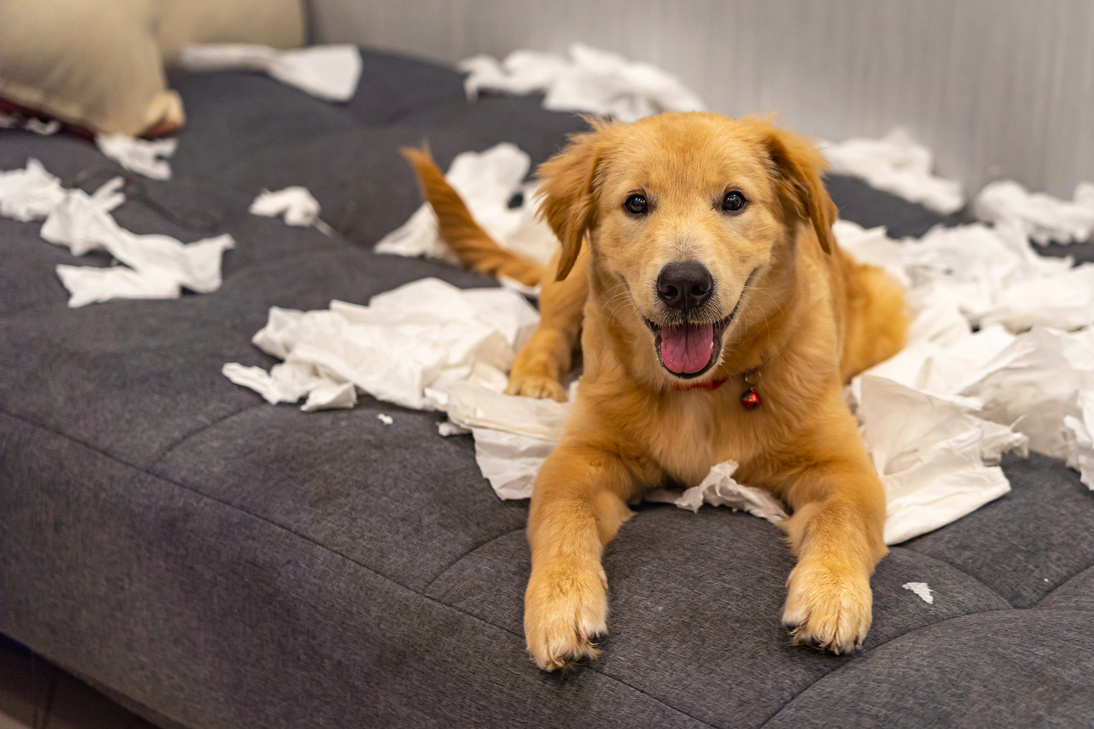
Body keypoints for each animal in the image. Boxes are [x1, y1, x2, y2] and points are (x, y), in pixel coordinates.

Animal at [402, 110, 905, 665]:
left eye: (734, 200)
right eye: (636, 203)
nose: (684, 285)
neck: (701, 392)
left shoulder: (844, 468)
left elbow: (843, 517)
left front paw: (831, 596)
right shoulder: (580, 457)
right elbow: (562, 514)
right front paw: (561, 602)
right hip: (570, 273)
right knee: (548, 327)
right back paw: (532, 380)